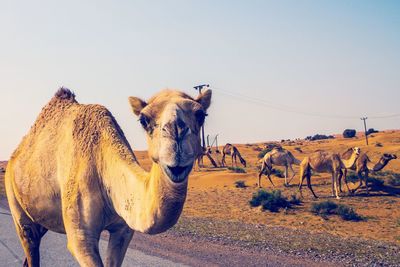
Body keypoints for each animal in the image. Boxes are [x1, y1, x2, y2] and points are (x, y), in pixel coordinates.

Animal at [5, 88, 212, 267]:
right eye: (143, 120)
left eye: (201, 114)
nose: (176, 132)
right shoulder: (81, 237)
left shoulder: (123, 231)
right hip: (16, 204)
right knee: (29, 239)